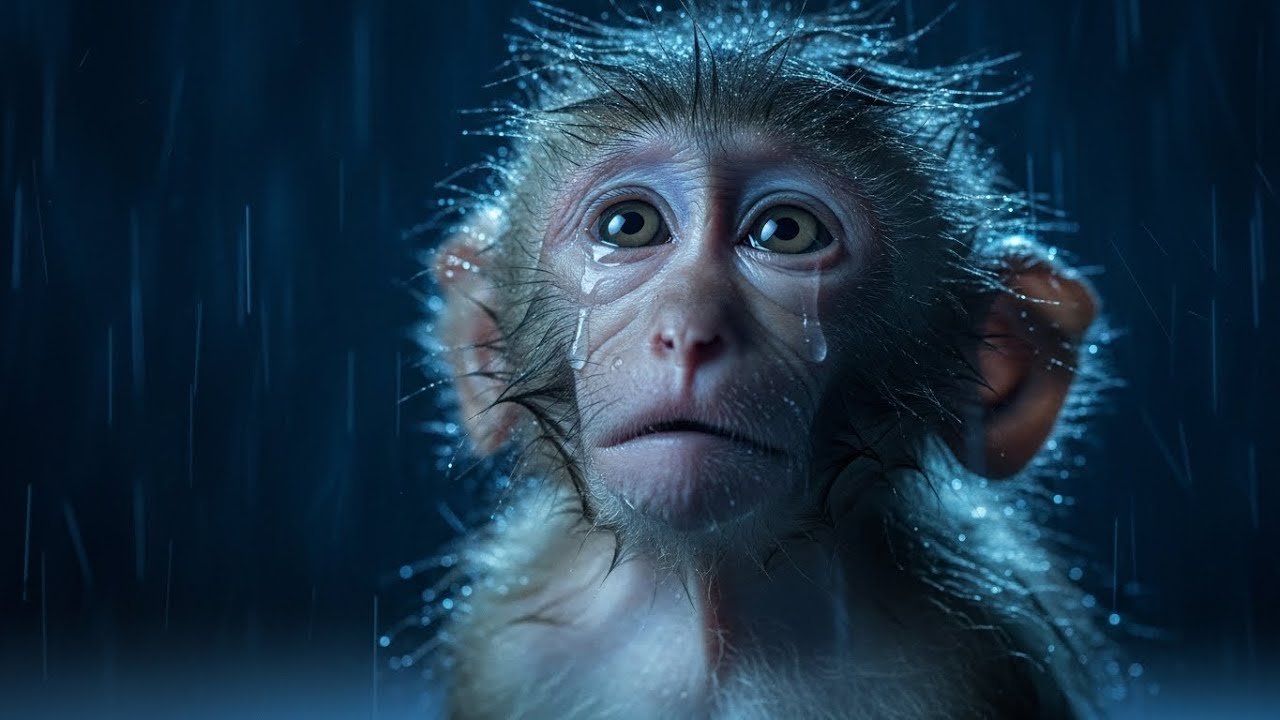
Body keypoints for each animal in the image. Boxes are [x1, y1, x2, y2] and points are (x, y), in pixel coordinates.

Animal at [410, 2, 1124, 718]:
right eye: (628, 225)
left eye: (786, 232)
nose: (688, 332)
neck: (710, 623)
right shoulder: (501, 646)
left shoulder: (980, 657)